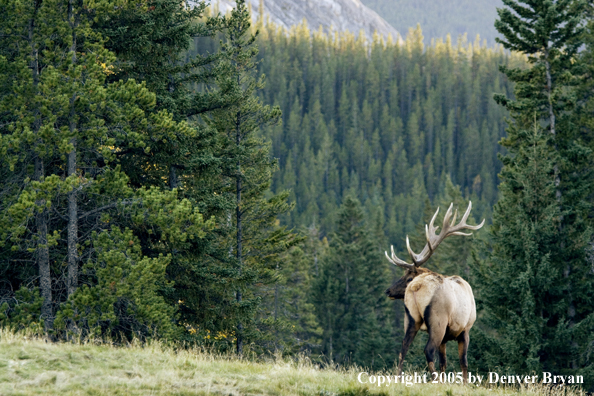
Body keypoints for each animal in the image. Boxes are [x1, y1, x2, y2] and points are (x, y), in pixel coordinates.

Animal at [384, 203, 480, 382]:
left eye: (408, 277)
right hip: (437, 320)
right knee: (428, 350)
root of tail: (417, 287)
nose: (388, 291)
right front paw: (465, 383)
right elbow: (463, 361)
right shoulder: (466, 329)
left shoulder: (446, 337)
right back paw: (435, 380)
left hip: (411, 318)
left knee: (403, 347)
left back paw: (398, 378)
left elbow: (444, 362)